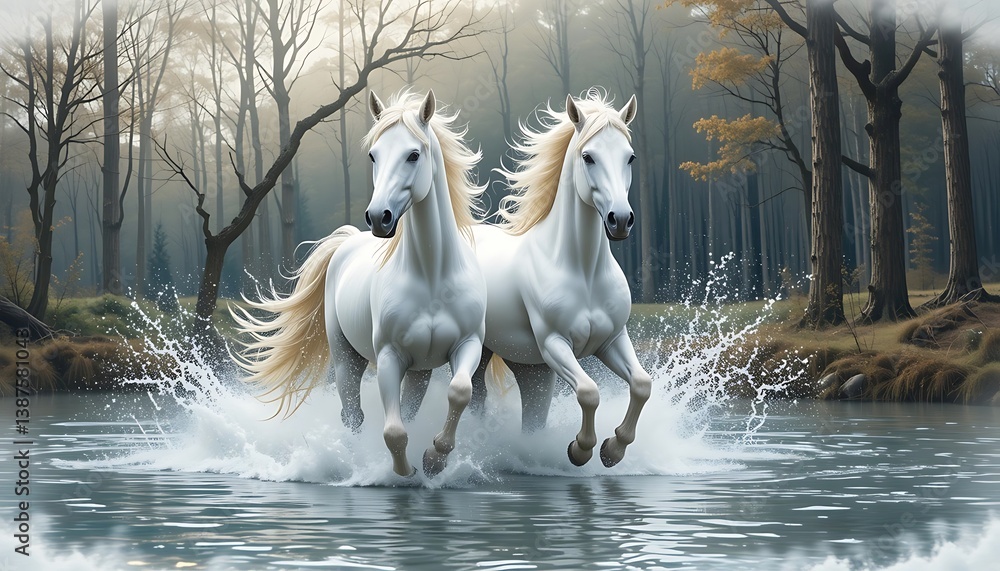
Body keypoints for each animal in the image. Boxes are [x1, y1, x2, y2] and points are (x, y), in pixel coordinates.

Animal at [231, 90, 487, 477]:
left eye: (414, 154)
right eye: (373, 155)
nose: (379, 217)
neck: (432, 276)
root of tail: (348, 241)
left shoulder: (467, 345)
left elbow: (459, 391)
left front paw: (434, 459)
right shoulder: (389, 356)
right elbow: (394, 431)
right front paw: (405, 472)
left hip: (420, 371)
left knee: (407, 407)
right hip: (345, 359)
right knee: (352, 414)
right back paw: (351, 462)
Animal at [470, 91, 653, 468]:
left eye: (630, 157)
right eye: (588, 156)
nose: (620, 220)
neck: (582, 271)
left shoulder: (612, 340)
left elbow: (642, 384)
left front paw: (613, 449)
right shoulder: (554, 344)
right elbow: (588, 391)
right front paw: (580, 449)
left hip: (529, 367)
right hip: (485, 354)